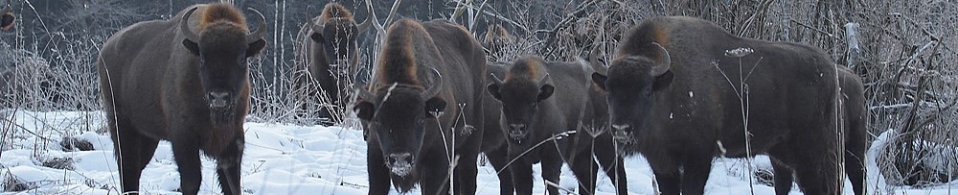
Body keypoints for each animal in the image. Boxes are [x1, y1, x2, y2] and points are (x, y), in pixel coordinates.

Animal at [97, 2, 266, 193]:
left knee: (136, 168)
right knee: (128, 167)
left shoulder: (233, 138)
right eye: (203, 58)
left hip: (148, 136)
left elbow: (231, 182)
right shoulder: (183, 137)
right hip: (121, 125)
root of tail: (105, 50)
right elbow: (192, 180)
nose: (219, 97)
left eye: (241, 58)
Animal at [352, 17, 488, 193]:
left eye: (419, 120)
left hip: (470, 145)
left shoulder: (436, 160)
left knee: (467, 177)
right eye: (378, 121)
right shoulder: (375, 154)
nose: (400, 158)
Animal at [488, 55, 632, 194]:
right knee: (588, 171)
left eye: (533, 102)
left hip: (604, 141)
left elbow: (550, 180)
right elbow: (523, 186)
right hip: (579, 150)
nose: (517, 128)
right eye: (504, 102)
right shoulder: (517, 157)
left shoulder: (553, 151)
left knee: (616, 171)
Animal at [592, 16, 864, 194]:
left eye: (646, 90)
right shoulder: (661, 162)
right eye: (609, 91)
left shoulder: (699, 157)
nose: (621, 129)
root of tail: (832, 69)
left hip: (822, 152)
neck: (669, 84)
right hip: (784, 153)